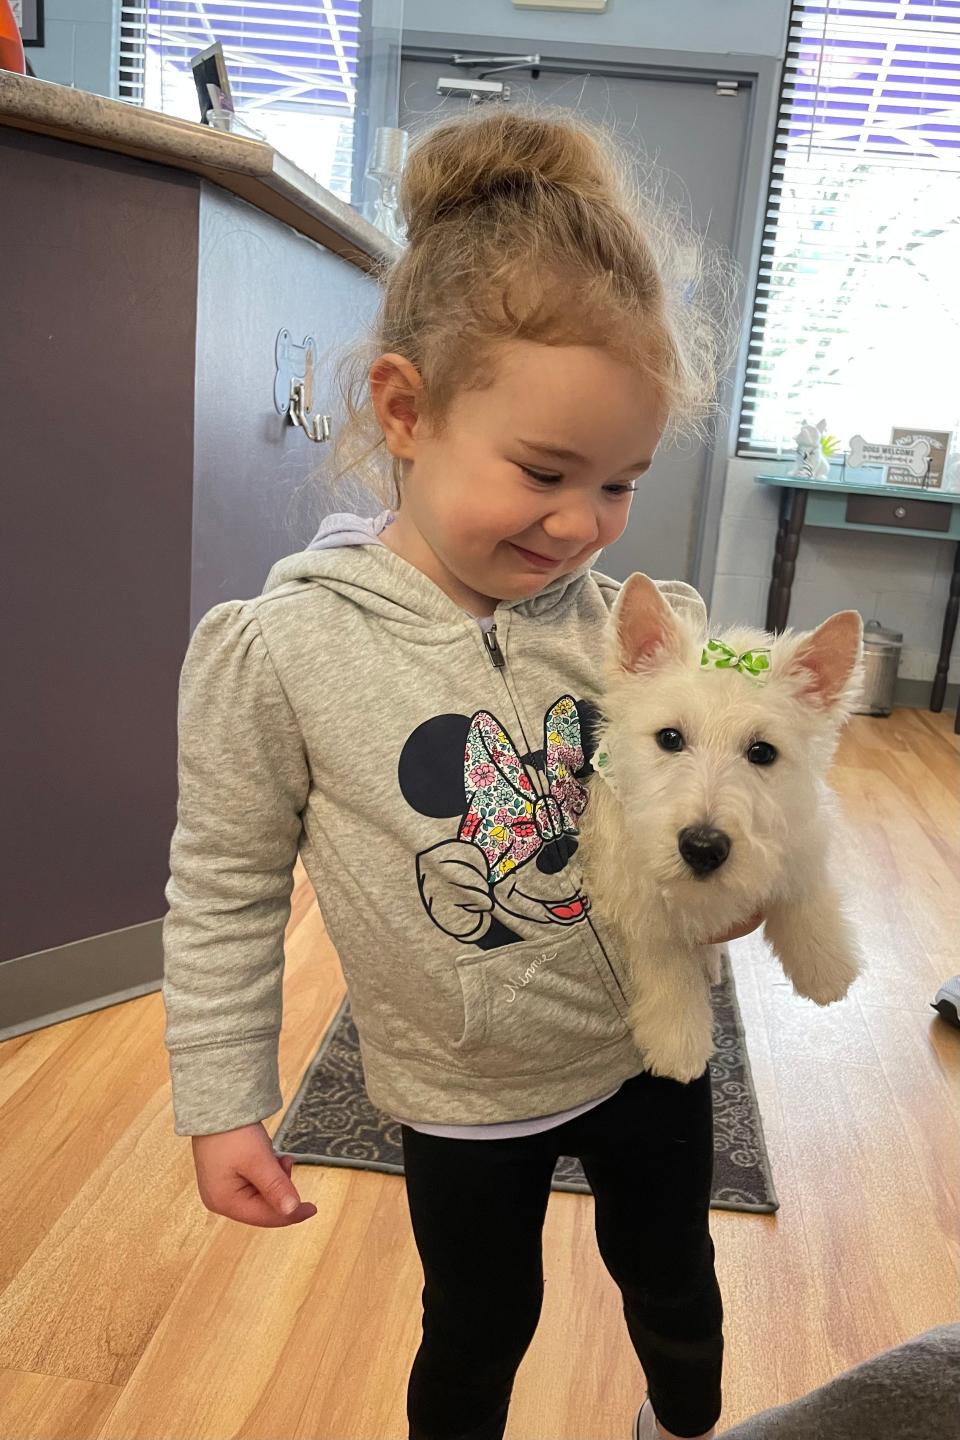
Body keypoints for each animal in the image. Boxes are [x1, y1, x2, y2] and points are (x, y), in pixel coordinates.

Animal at [581, 570, 869, 1082]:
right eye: (669, 737)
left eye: (762, 752)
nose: (703, 847)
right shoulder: (636, 896)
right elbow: (667, 962)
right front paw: (679, 1042)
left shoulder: (800, 831)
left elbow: (805, 893)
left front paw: (825, 968)